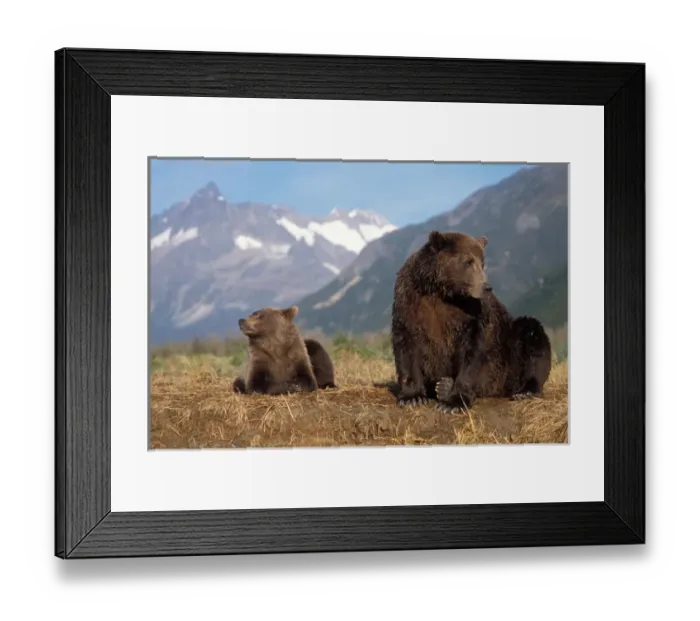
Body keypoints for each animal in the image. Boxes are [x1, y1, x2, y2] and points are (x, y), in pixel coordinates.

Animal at [390, 230, 552, 413]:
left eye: (482, 263)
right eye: (468, 261)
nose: (486, 286)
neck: (443, 292)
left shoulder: (472, 314)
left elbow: (473, 350)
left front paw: (453, 403)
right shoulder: (410, 300)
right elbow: (406, 343)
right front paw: (412, 397)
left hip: (510, 353)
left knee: (531, 334)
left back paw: (525, 390)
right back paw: (443, 386)